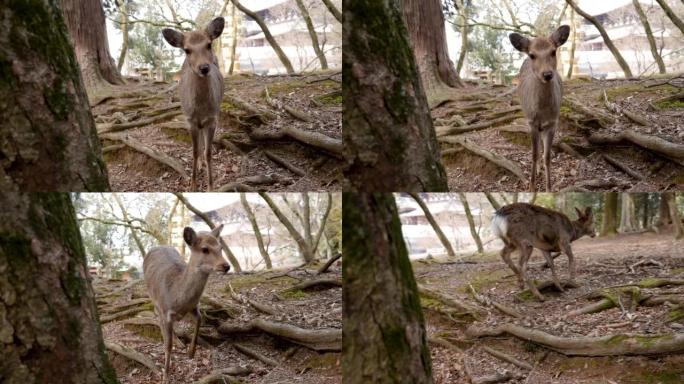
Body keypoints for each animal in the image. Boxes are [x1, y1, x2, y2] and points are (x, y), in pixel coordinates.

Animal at [143, 225, 231, 384]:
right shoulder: (166, 310)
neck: (178, 300)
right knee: (155, 314)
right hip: (152, 295)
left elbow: (200, 319)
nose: (226, 266)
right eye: (205, 249)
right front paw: (165, 376)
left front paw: (191, 353)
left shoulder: (194, 307)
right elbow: (168, 345)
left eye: (221, 247)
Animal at [508, 24, 572, 191]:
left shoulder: (553, 122)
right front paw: (532, 187)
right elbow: (534, 154)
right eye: (532, 55)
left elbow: (547, 156)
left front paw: (549, 188)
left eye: (553, 51)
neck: (542, 111)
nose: (547, 74)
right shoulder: (532, 122)